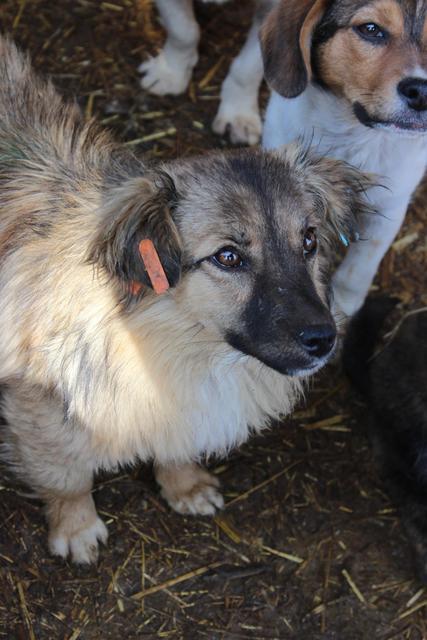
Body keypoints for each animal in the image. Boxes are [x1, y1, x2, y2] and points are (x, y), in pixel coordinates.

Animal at [0, 37, 372, 564]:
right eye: (228, 256)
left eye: (309, 241)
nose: (324, 339)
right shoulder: (39, 406)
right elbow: (67, 477)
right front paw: (76, 528)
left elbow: (176, 444)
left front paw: (184, 485)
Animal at [262, 0, 427, 318]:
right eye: (370, 29)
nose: (423, 93)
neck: (355, 136)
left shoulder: (391, 206)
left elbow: (359, 267)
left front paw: (344, 307)